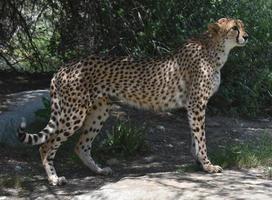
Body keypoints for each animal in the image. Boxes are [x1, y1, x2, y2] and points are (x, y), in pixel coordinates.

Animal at [18, 18, 249, 185]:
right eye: (234, 28)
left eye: (243, 25)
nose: (247, 36)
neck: (215, 49)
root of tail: (63, 67)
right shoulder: (197, 103)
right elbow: (201, 137)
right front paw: (208, 166)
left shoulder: (193, 106)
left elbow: (195, 136)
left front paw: (198, 162)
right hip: (73, 113)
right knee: (46, 145)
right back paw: (54, 179)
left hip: (100, 110)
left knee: (81, 146)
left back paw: (99, 170)